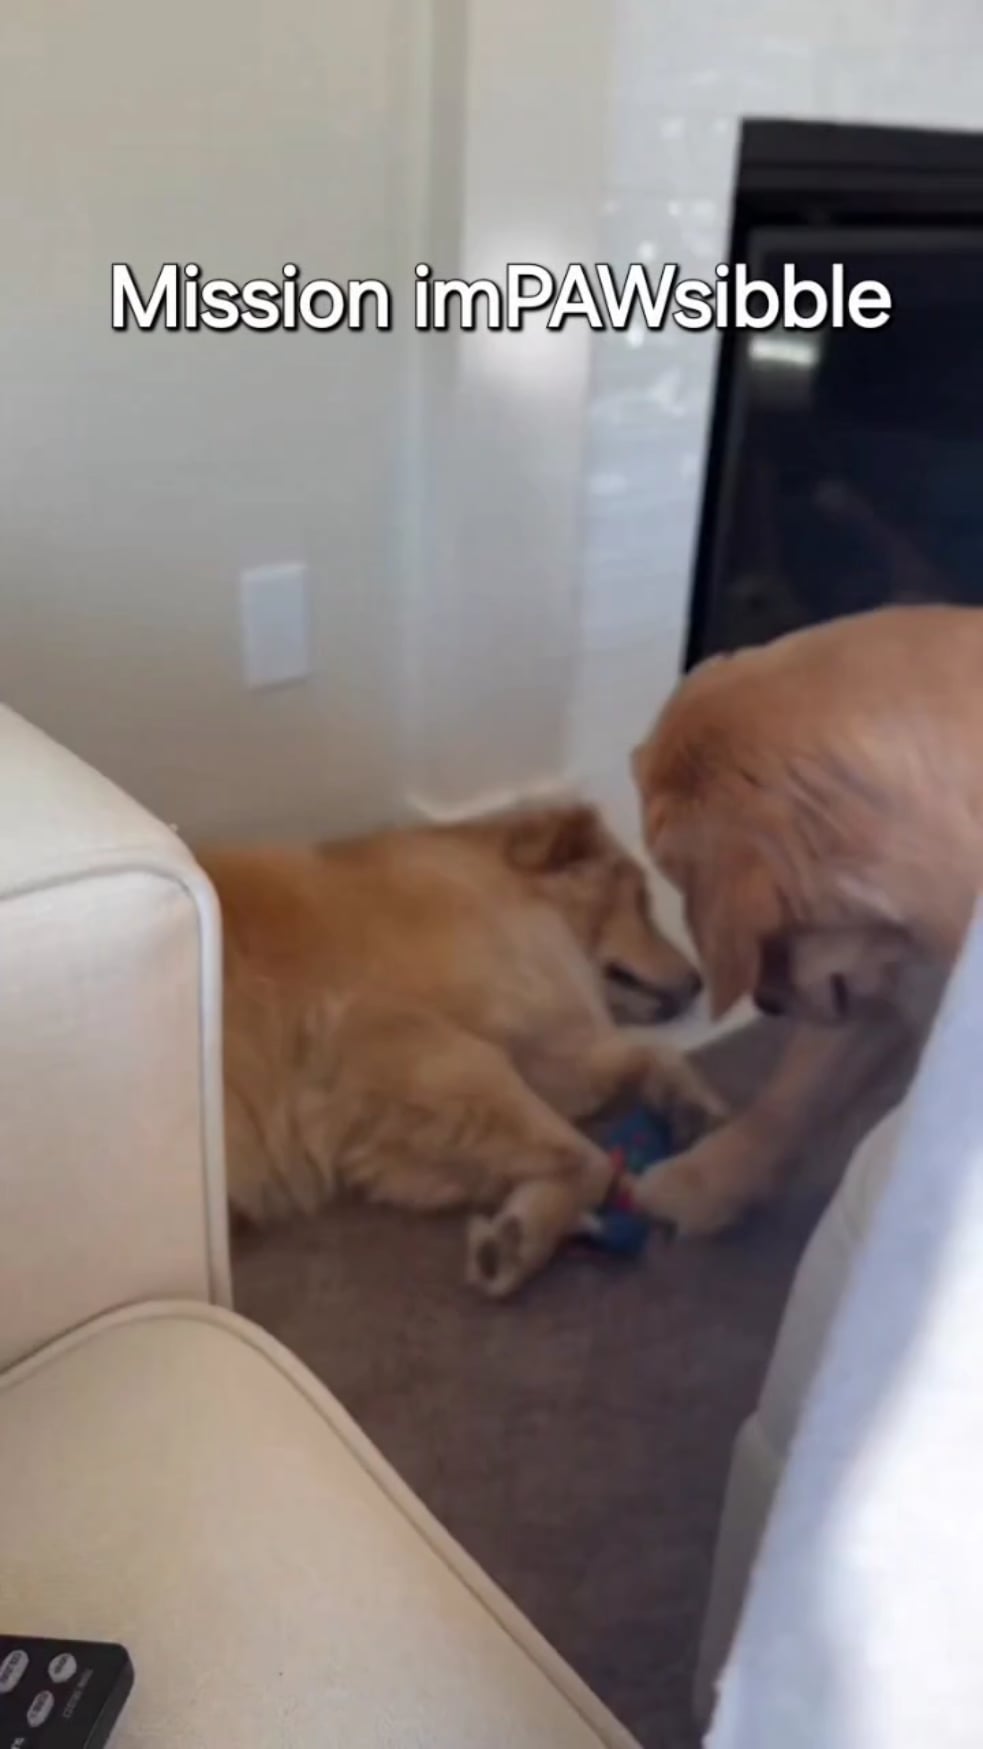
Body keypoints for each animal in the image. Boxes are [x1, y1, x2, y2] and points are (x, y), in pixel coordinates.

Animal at [198, 802, 725, 1297]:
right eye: (641, 902)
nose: (700, 981)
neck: (496, 891)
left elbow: (647, 1059)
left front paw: (690, 1103)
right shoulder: (417, 1053)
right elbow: (591, 1161)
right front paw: (524, 1235)